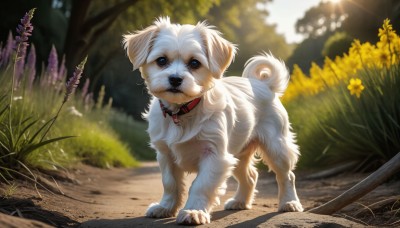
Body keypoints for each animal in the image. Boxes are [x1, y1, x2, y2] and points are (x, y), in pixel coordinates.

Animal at [122, 17, 304, 224]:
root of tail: (263, 84)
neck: (182, 112)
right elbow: (170, 184)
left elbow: (200, 185)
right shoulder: (166, 154)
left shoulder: (215, 156)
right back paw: (240, 201)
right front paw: (165, 207)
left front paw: (193, 211)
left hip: (276, 147)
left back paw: (289, 202)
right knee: (251, 176)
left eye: (194, 63)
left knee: (287, 176)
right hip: (237, 154)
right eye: (161, 60)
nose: (175, 79)